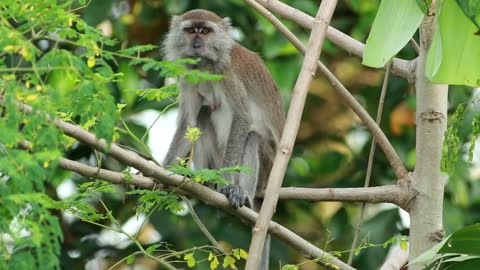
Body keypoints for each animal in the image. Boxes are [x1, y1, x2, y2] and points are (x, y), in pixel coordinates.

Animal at [163, 8, 284, 268]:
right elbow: (189, 121)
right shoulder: (188, 75)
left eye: (206, 31)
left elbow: (243, 118)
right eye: (191, 30)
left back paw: (242, 195)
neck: (207, 66)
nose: (196, 45)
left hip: (267, 170)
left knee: (253, 137)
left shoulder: (228, 74)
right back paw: (204, 180)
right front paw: (163, 171)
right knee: (203, 115)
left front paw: (227, 184)